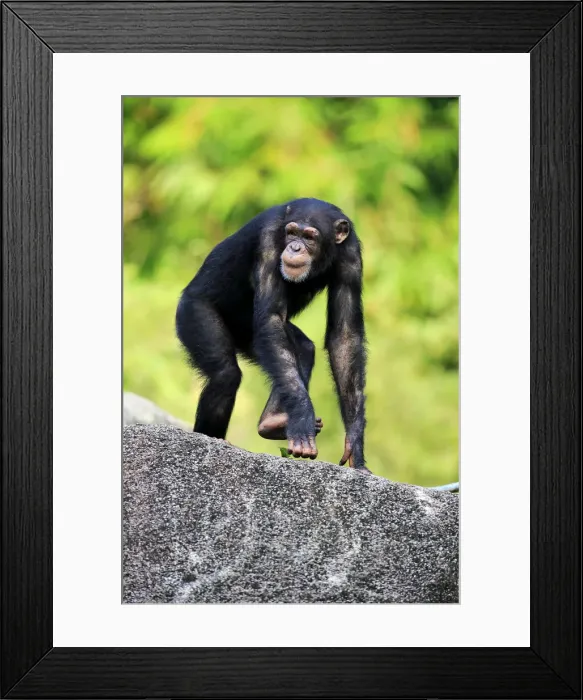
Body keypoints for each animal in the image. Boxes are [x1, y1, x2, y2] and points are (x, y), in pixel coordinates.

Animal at [176, 198, 369, 472]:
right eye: (292, 233)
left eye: (310, 237)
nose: (295, 247)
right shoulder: (267, 243)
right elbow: (271, 319)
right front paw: (301, 418)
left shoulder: (352, 258)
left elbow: (345, 336)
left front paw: (355, 443)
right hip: (193, 312)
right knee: (225, 375)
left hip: (247, 336)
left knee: (301, 350)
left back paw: (273, 421)